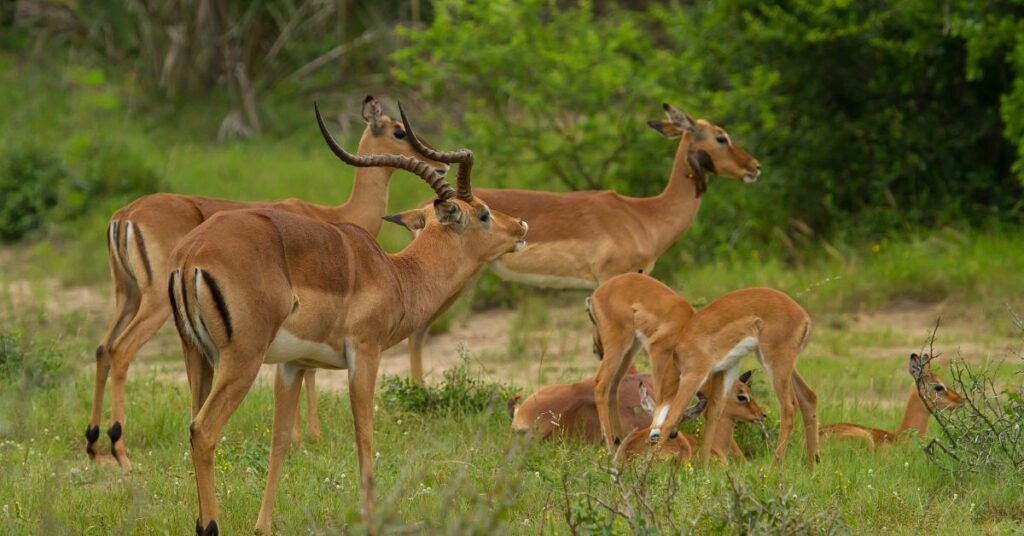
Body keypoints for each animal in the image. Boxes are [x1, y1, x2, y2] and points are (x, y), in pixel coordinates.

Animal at [85, 96, 447, 466]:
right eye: (399, 131)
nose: (439, 162)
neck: (336, 215)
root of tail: (124, 215)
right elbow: (309, 371)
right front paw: (309, 437)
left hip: (127, 297)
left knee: (103, 348)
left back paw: (94, 443)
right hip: (159, 305)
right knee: (122, 350)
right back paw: (120, 450)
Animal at [169, 105, 527, 535]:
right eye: (484, 214)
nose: (521, 226)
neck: (397, 275)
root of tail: (191, 255)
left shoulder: (292, 365)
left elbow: (280, 441)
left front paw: (263, 526)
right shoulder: (365, 353)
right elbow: (365, 438)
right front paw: (371, 522)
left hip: (198, 356)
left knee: (193, 425)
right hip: (242, 360)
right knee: (203, 431)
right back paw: (210, 525)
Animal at [396, 102, 761, 384]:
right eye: (721, 136)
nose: (754, 167)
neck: (643, 215)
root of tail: (423, 210)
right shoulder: (611, 278)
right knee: (418, 331)